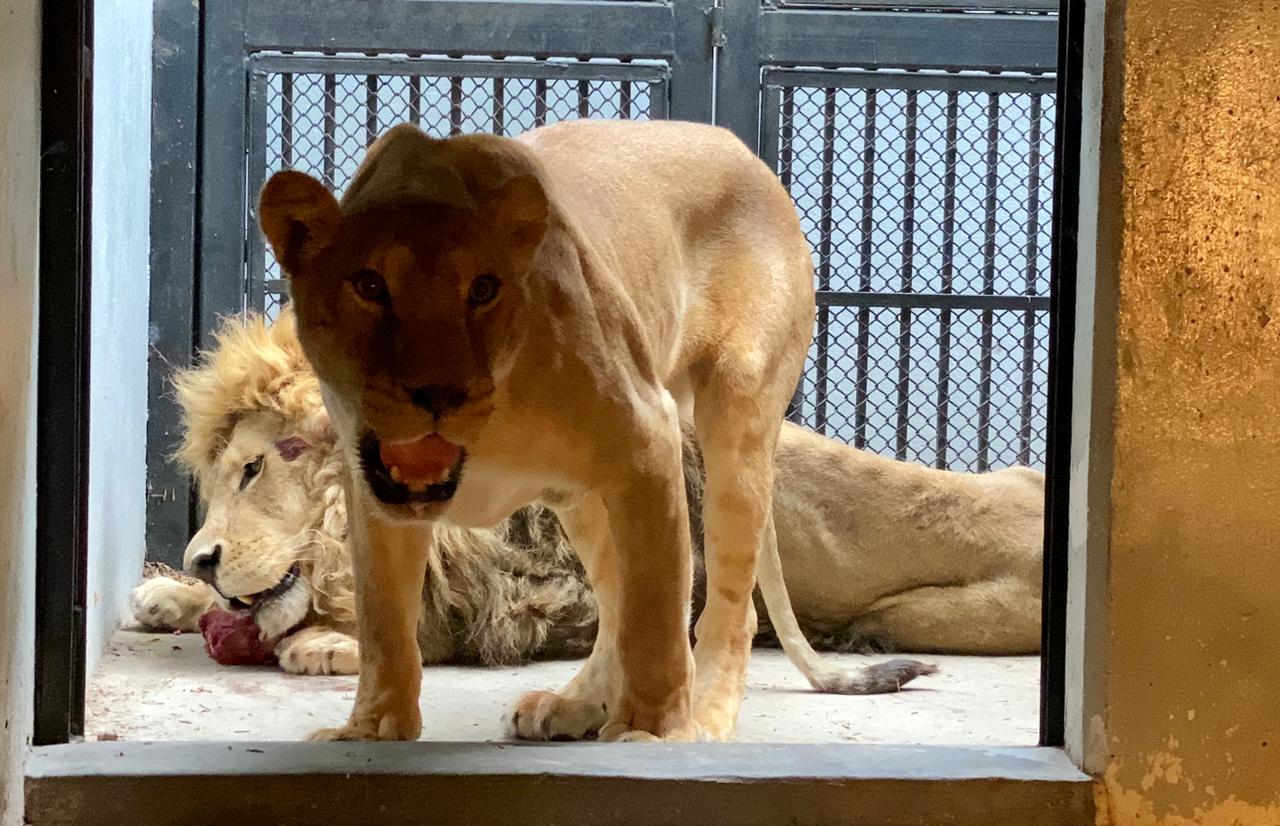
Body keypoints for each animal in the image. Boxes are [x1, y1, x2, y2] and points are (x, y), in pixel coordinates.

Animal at [132, 309, 1049, 676]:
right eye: (218, 473)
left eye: (260, 466)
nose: (201, 556)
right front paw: (168, 596)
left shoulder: (541, 595)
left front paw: (325, 641)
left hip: (917, 612)